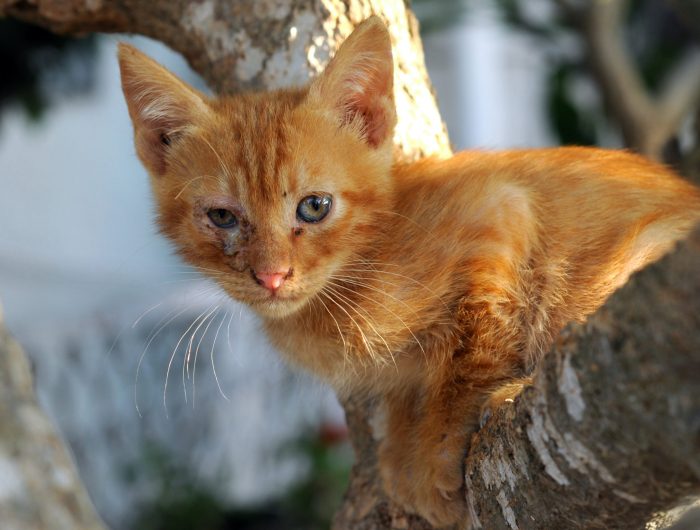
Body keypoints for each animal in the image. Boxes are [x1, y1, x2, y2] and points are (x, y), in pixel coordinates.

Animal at [117, 16, 700, 524]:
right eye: (222, 218)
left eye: (314, 207)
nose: (272, 276)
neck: (363, 261)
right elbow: (406, 389)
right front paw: (400, 449)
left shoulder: (499, 212)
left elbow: (472, 351)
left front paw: (437, 449)